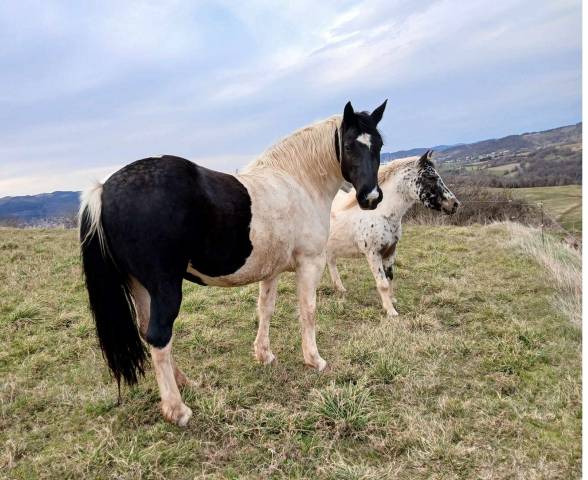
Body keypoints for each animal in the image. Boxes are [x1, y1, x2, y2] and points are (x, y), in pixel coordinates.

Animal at [80, 99, 388, 426]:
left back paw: (185, 382)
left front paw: (264, 355)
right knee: (159, 337)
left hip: (139, 286)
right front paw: (314, 360)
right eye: (349, 145)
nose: (371, 198)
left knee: (148, 333)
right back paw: (177, 409)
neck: (298, 181)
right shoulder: (310, 263)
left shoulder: (273, 270)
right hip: (165, 287)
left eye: (379, 144)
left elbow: (266, 309)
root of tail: (104, 189)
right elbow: (308, 311)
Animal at [326, 152, 460, 318]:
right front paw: (391, 311)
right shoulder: (373, 254)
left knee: (331, 263)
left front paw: (392, 300)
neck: (380, 213)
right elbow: (382, 283)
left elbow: (389, 279)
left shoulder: (390, 251)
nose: (454, 204)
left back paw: (340, 289)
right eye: (430, 177)